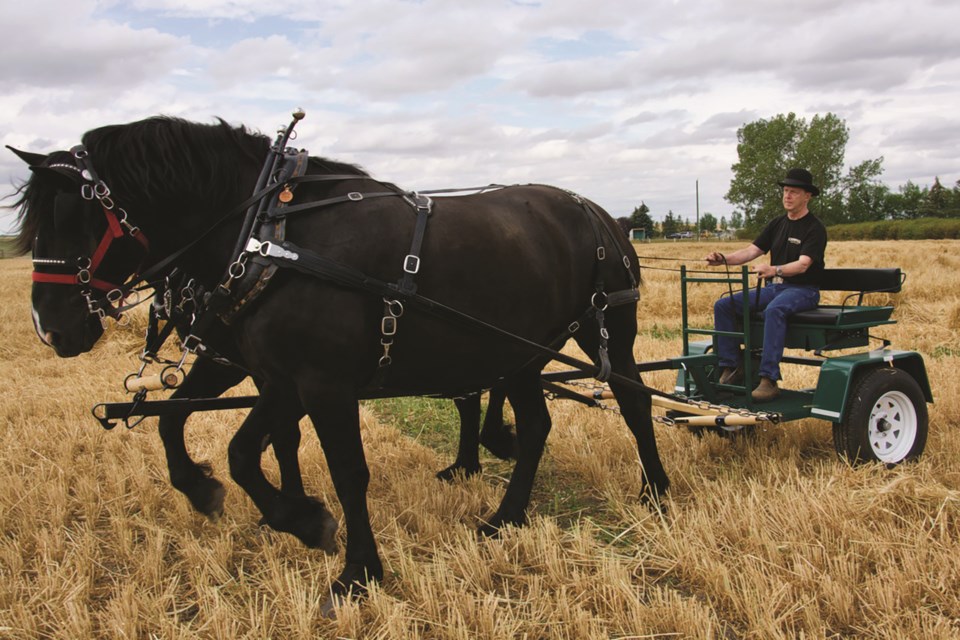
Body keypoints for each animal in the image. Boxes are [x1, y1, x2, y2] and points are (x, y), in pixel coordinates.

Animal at [9, 116, 668, 616]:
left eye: (76, 217)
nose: (51, 328)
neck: (270, 235)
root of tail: (600, 213)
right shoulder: (277, 375)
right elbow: (235, 445)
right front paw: (284, 513)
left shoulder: (322, 383)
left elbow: (346, 471)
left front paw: (356, 571)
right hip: (523, 352)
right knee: (534, 427)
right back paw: (504, 517)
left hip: (606, 329)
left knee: (634, 400)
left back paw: (655, 492)